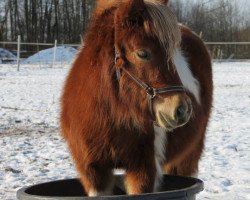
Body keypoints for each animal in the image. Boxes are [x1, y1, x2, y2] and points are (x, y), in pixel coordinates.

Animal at [60, 0, 213, 197]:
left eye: (171, 53)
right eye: (142, 53)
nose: (182, 109)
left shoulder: (143, 169)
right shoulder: (93, 172)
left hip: (190, 155)